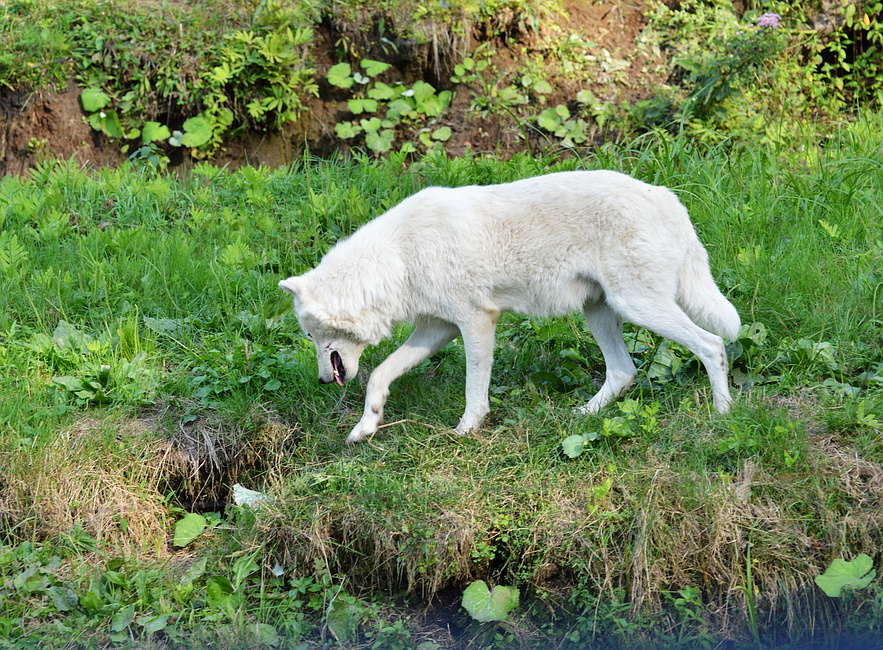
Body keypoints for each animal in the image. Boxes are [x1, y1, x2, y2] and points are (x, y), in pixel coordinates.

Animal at [279, 170, 740, 444]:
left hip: (640, 308)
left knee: (712, 344)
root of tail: (668, 198)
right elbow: (379, 374)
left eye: (310, 335)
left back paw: (723, 415)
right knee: (624, 371)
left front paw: (466, 430)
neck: (398, 259)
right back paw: (582, 416)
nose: (322, 381)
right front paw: (365, 427)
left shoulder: (476, 321)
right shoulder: (437, 329)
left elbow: (474, 389)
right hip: (600, 311)